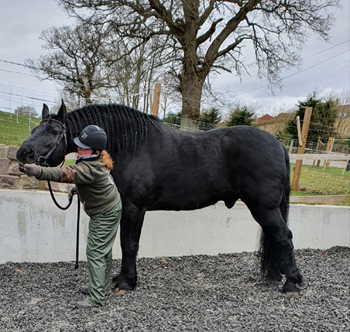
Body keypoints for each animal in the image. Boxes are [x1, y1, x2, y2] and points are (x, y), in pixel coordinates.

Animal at [16, 102, 302, 294]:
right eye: (35, 127)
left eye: (54, 131)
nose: (23, 154)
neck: (132, 146)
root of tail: (279, 145)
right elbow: (124, 244)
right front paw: (121, 278)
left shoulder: (134, 208)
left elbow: (130, 245)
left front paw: (127, 282)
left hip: (264, 207)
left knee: (284, 237)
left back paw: (292, 284)